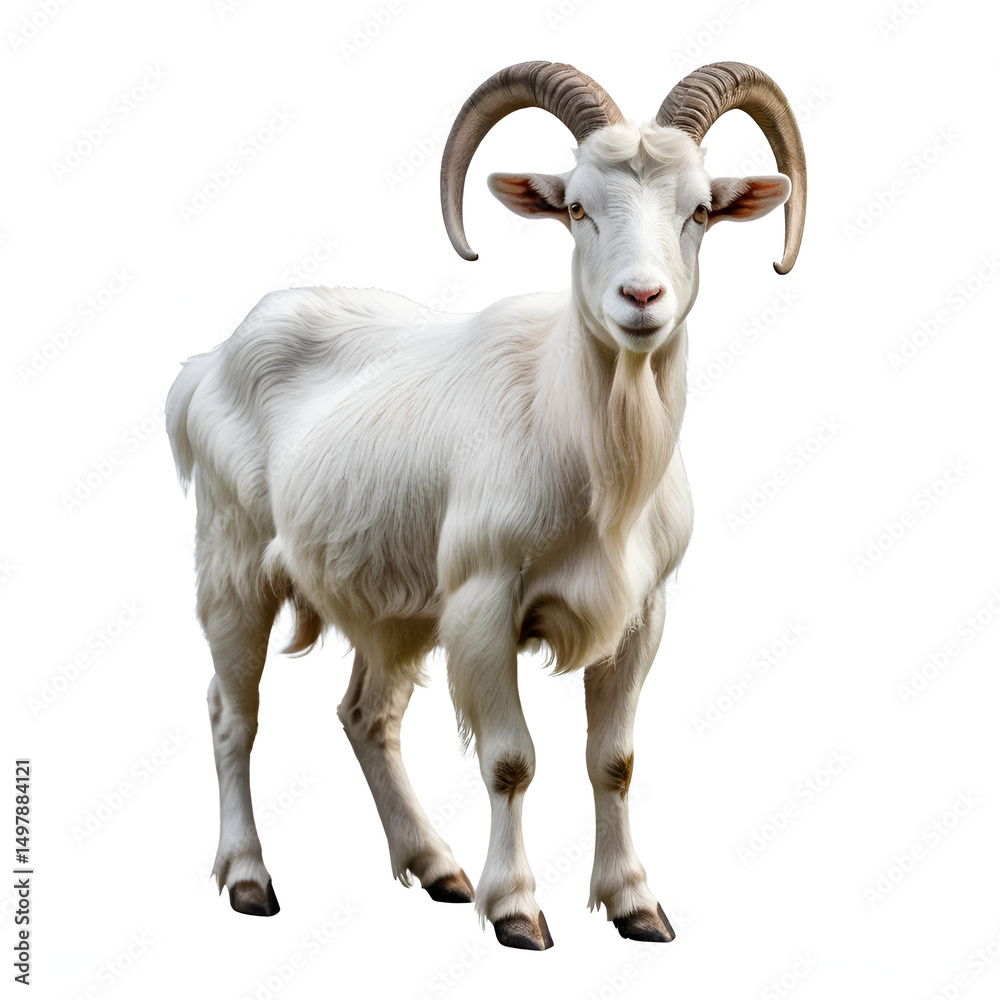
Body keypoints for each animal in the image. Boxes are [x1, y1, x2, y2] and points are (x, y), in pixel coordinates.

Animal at [166, 60, 806, 950]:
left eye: (701, 211)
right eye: (577, 207)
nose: (641, 298)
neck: (593, 463)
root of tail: (208, 361)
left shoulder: (640, 615)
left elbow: (614, 761)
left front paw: (636, 904)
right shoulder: (483, 601)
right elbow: (511, 760)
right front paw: (516, 911)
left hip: (392, 601)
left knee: (366, 715)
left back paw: (436, 866)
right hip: (232, 564)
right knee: (233, 713)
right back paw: (250, 880)